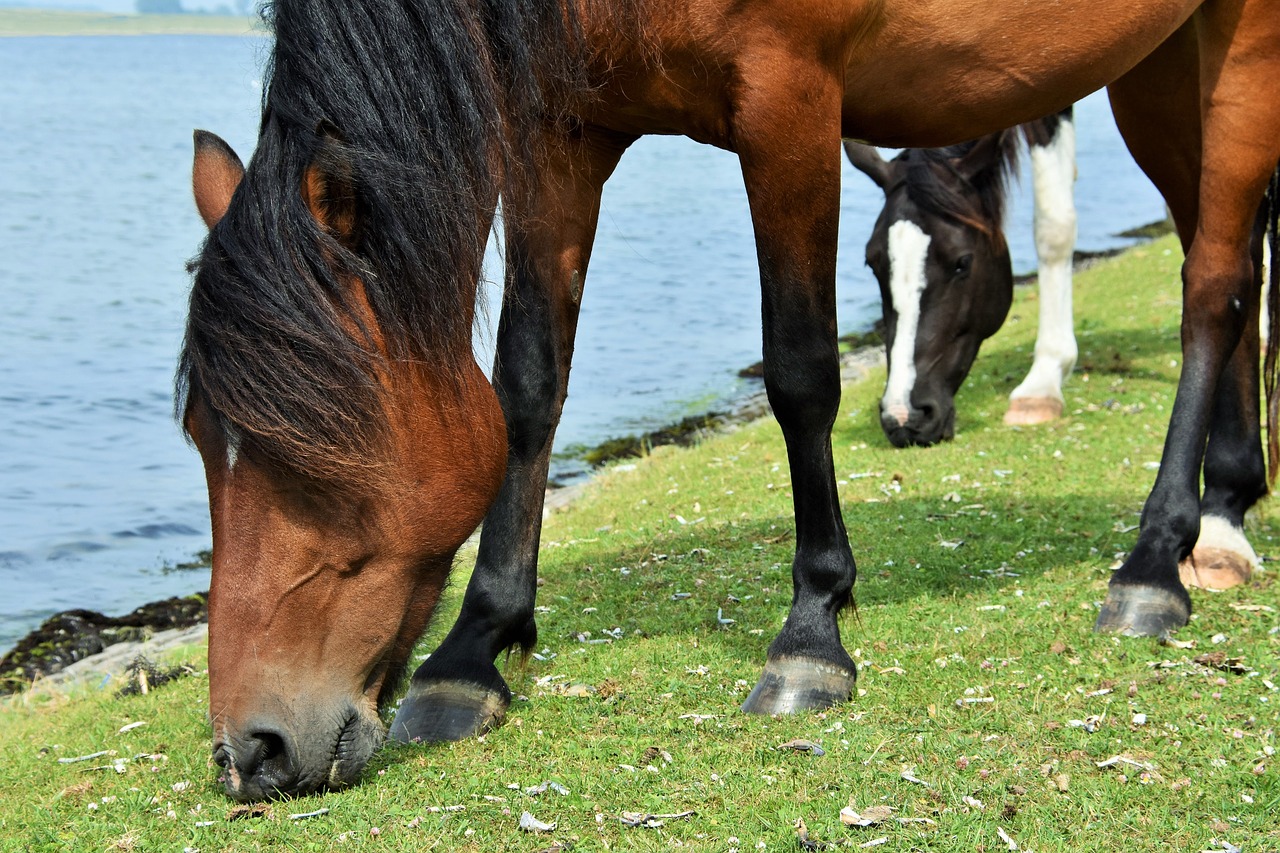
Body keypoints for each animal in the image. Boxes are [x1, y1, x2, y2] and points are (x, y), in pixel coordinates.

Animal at [183, 0, 1280, 799]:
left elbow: (798, 371)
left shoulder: (788, 95)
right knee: (1214, 244)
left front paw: (811, 633)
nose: (251, 750)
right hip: (1155, 59)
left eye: (312, 436)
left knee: (1213, 284)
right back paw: (1223, 512)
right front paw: (472, 650)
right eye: (196, 433)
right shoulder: (558, 129)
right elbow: (529, 381)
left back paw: (1156, 560)